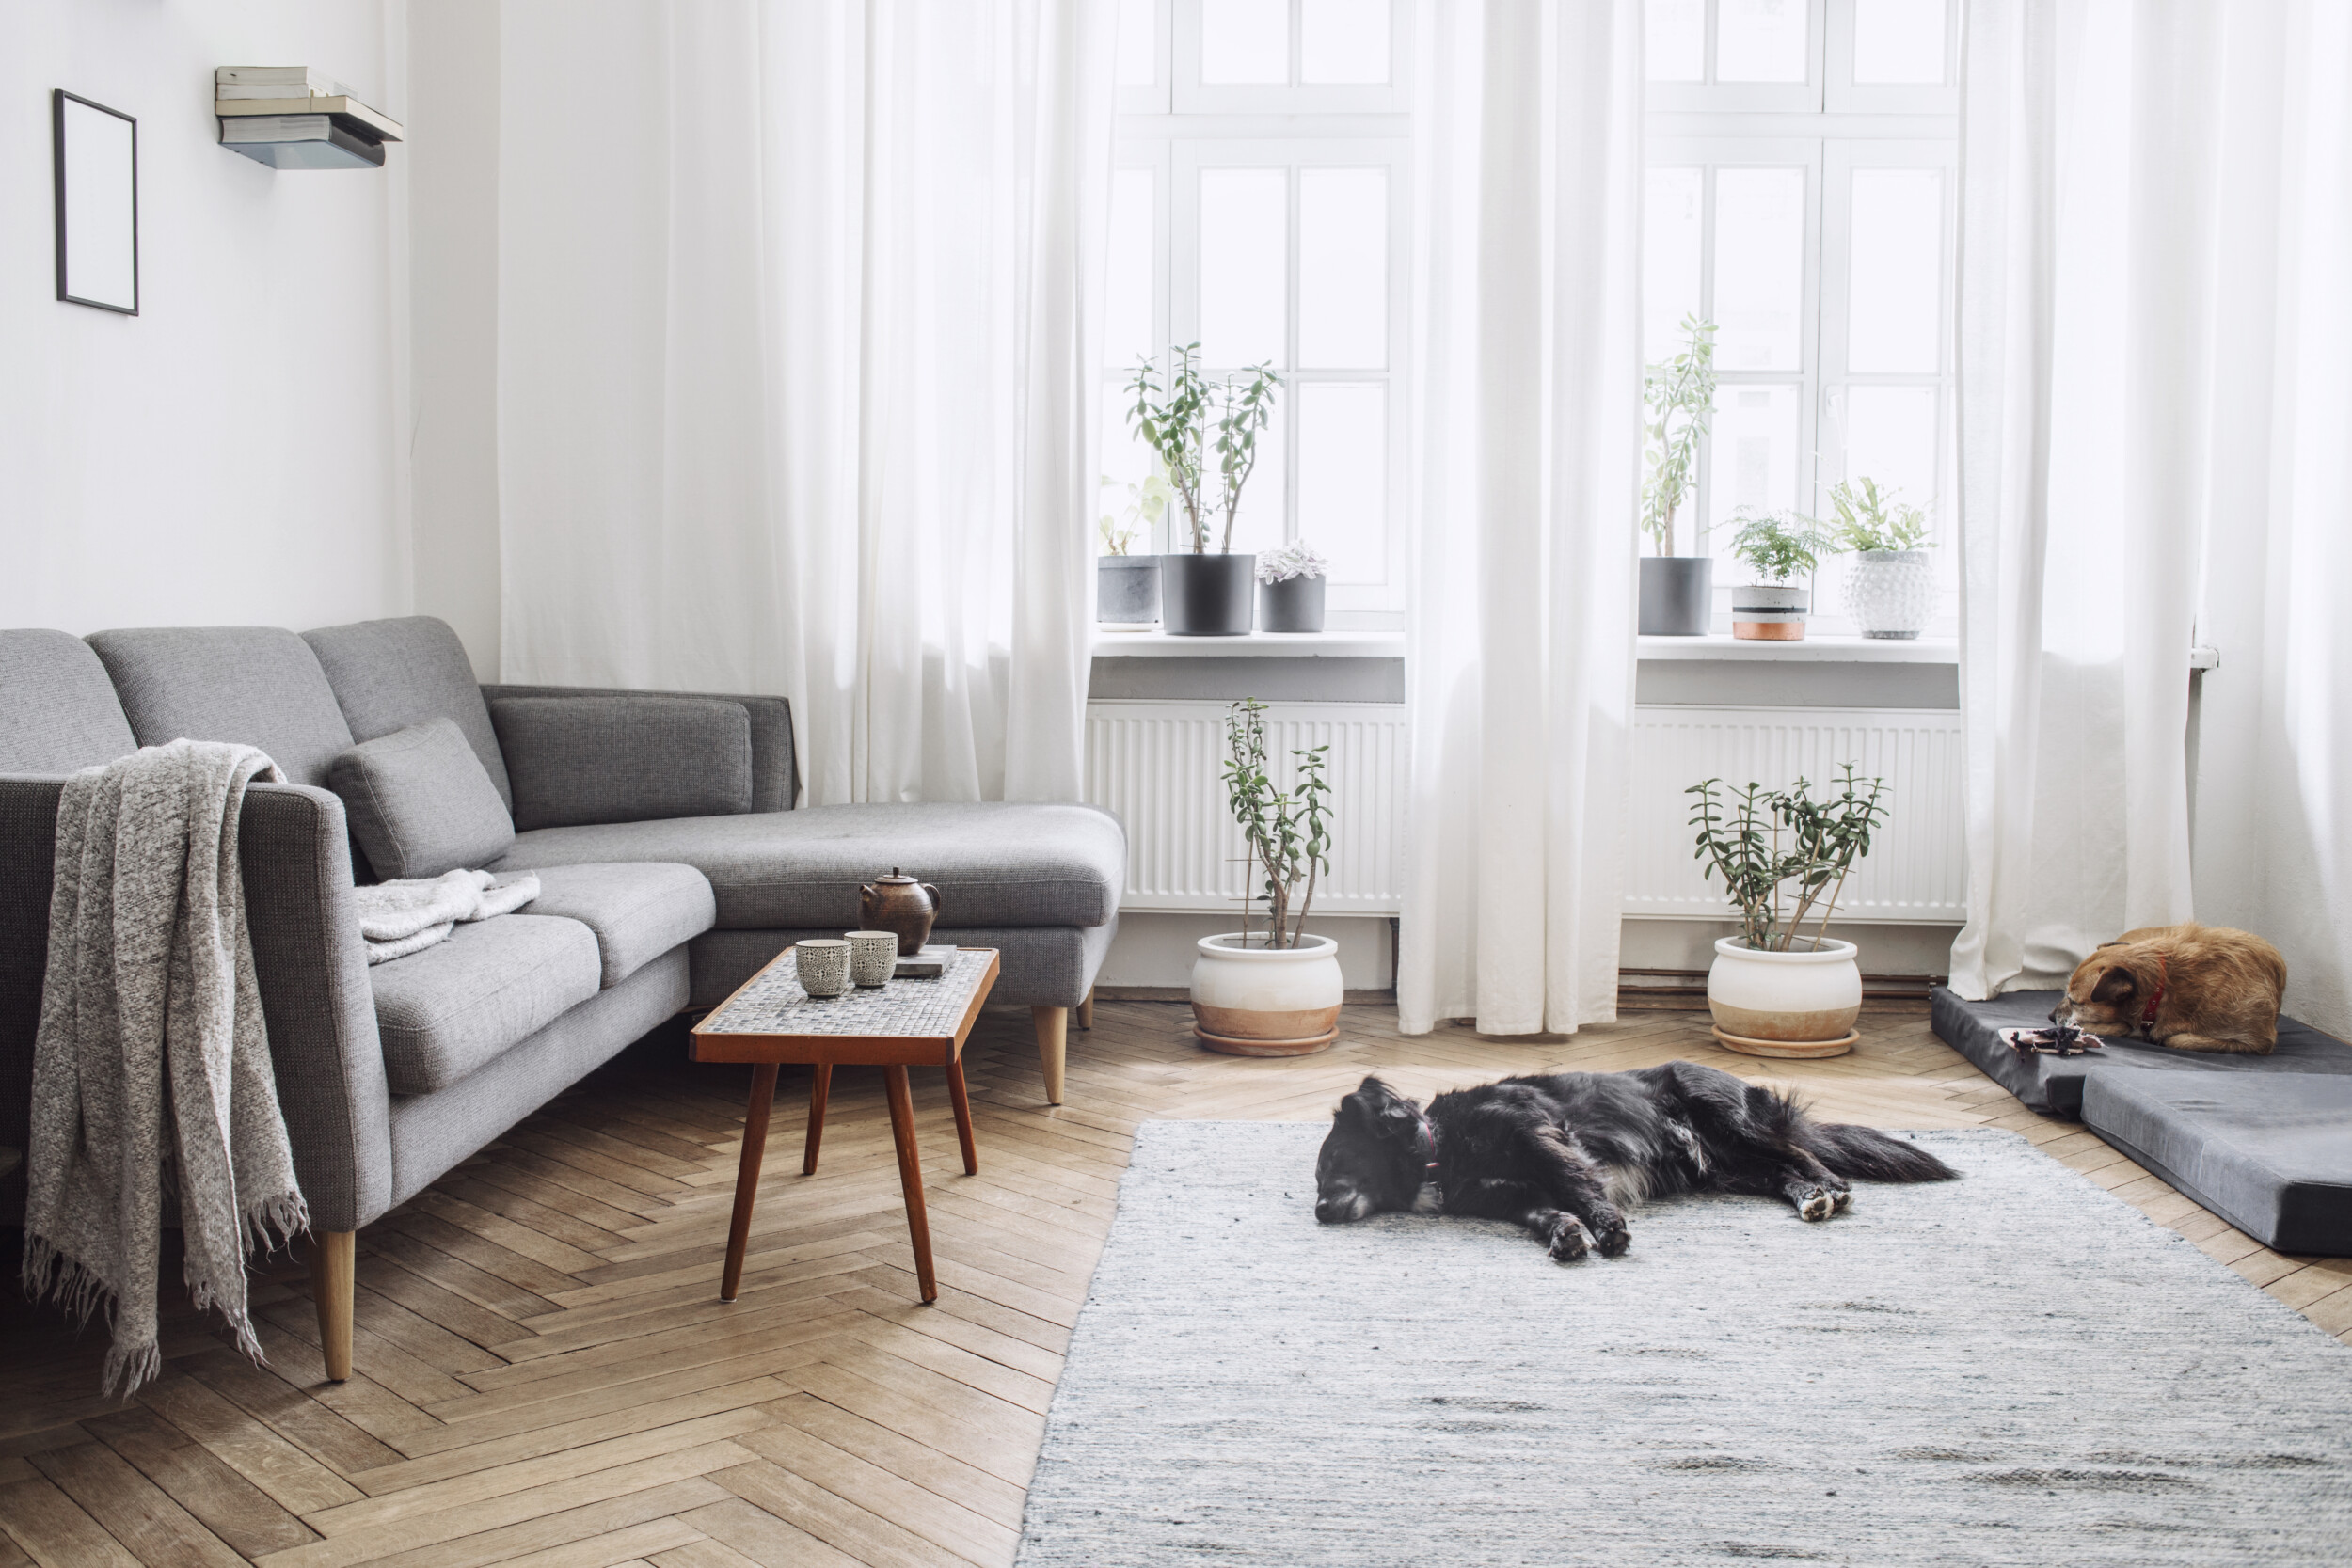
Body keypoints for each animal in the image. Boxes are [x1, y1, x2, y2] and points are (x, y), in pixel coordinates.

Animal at [1317, 1062, 1957, 1259]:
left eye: (1329, 1166)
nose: (1320, 1212)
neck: (1440, 1149)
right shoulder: (1510, 1195)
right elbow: (1549, 1213)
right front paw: (1567, 1237)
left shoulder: (1541, 1136)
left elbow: (1579, 1187)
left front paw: (1607, 1229)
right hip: (1725, 1167)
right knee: (1780, 1174)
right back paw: (1810, 1197)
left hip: (1729, 1119)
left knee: (1799, 1151)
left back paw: (1830, 1186)